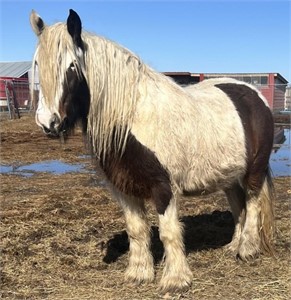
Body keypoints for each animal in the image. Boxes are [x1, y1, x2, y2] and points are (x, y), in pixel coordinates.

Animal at [29, 9, 276, 292]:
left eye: (71, 66)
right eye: (37, 65)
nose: (48, 122)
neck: (133, 118)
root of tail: (255, 94)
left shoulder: (164, 188)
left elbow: (168, 232)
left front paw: (176, 279)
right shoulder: (123, 188)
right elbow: (137, 230)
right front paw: (139, 273)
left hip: (254, 170)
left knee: (252, 203)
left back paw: (247, 250)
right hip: (228, 175)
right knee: (238, 206)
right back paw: (233, 245)